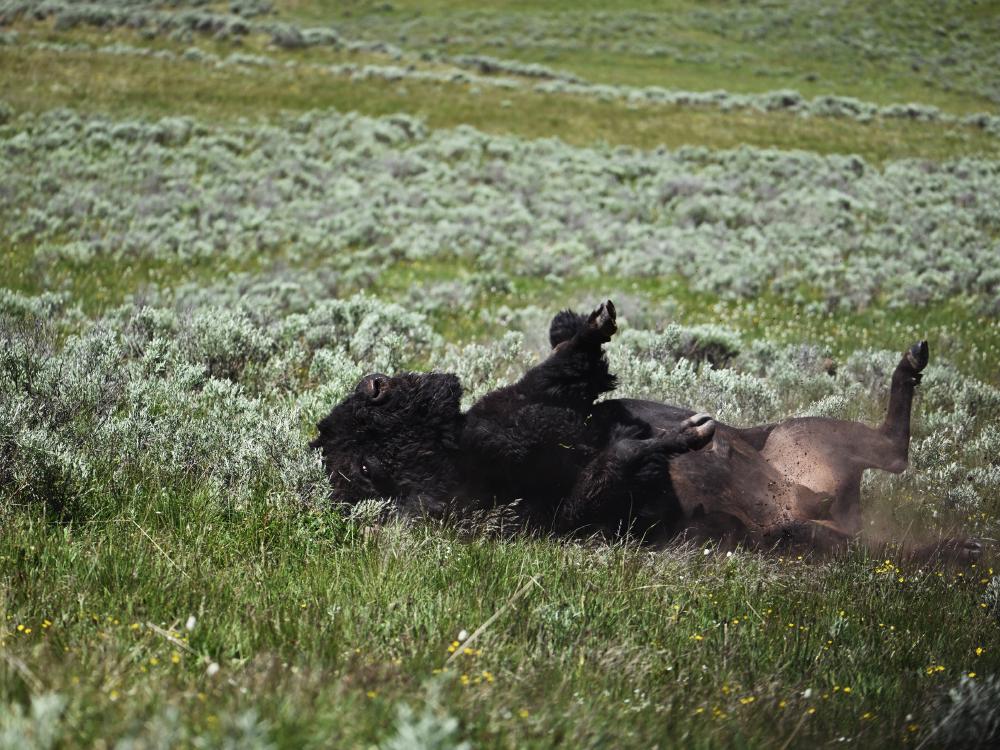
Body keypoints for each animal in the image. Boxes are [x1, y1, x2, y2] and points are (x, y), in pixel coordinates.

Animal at [310, 300, 976, 560]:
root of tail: (813, 503)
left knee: (888, 450)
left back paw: (912, 360)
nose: (375, 382)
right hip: (800, 528)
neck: (454, 455)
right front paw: (682, 436)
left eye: (357, 419)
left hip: (799, 433)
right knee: (891, 464)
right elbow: (608, 460)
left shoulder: (536, 407)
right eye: (364, 453)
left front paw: (588, 321)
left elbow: (567, 370)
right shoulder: (555, 502)